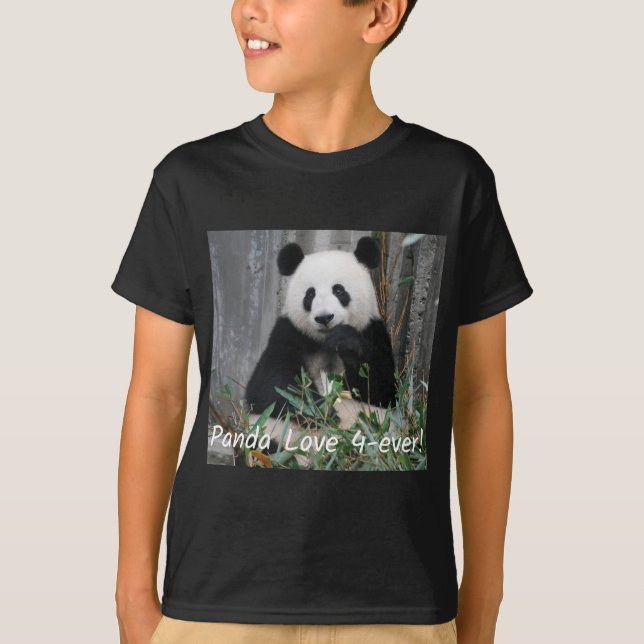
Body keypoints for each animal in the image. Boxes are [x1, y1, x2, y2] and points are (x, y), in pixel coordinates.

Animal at [244, 236, 397, 445]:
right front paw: (321, 412)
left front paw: (345, 341)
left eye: (339, 291)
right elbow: (271, 384)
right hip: (271, 431)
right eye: (310, 294)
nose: (324, 317)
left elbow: (382, 389)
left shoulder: (373, 331)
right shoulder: (289, 332)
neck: (324, 342)